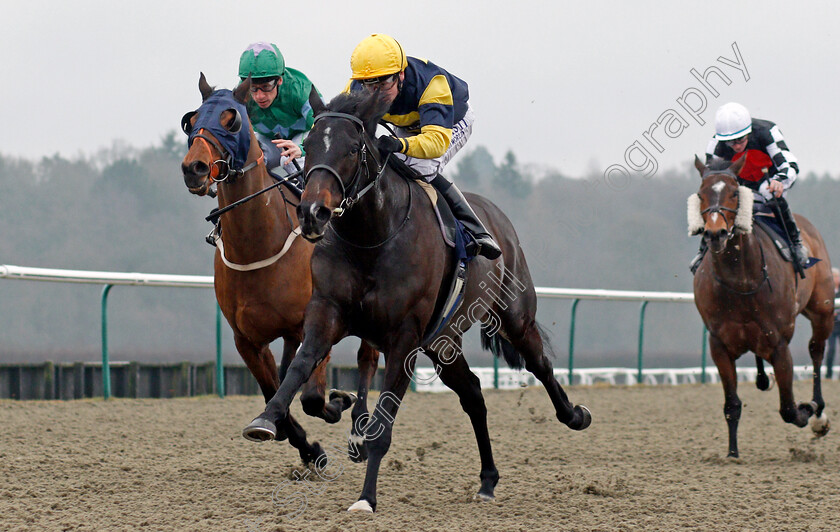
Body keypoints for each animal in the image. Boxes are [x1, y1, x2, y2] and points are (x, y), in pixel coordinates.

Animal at [180, 75, 378, 466]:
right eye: (191, 120)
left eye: (232, 120)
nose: (194, 168)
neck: (259, 245)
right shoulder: (247, 341)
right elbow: (276, 394)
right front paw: (308, 449)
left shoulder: (314, 324)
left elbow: (312, 397)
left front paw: (339, 401)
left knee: (367, 357)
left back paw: (359, 428)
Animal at [240, 90, 588, 512]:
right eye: (308, 145)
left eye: (353, 148)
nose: (312, 212)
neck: (372, 237)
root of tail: (499, 220)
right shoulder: (326, 310)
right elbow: (301, 364)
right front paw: (266, 419)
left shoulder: (403, 337)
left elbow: (383, 423)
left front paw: (366, 499)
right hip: (443, 342)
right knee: (474, 394)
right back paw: (487, 480)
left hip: (513, 314)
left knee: (539, 363)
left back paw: (574, 415)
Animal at [688, 155, 832, 458]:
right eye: (701, 193)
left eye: (734, 192)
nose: (716, 234)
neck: (741, 282)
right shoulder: (719, 344)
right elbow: (731, 405)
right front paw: (732, 454)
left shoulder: (779, 343)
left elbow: (789, 409)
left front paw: (807, 409)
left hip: (822, 309)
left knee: (816, 350)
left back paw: (819, 413)